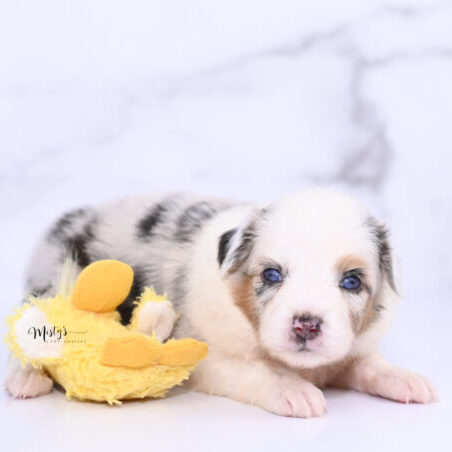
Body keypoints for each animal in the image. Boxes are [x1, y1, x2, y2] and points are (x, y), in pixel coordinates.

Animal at [3, 188, 436, 416]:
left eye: (351, 281)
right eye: (272, 275)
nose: (306, 325)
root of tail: (69, 217)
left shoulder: (349, 349)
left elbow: (368, 363)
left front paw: (405, 378)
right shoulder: (207, 358)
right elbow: (258, 372)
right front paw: (296, 392)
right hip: (55, 280)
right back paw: (27, 379)